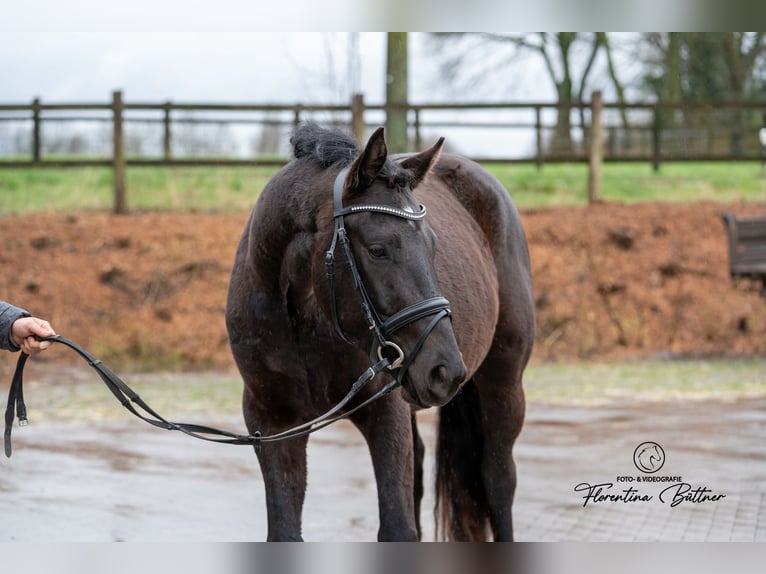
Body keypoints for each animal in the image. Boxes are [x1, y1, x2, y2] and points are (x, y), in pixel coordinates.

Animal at [225, 122, 535, 541]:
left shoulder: (385, 414)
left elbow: (396, 526)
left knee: (498, 481)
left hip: (503, 381)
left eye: (433, 244)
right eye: (377, 249)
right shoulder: (273, 423)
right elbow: (285, 531)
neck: (304, 320)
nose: (446, 369)